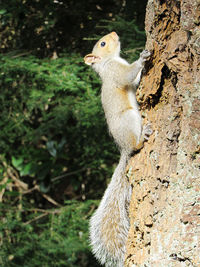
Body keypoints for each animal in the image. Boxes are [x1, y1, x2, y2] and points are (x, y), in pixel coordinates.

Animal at [84, 32, 152, 266]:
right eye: (103, 43)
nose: (114, 33)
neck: (108, 62)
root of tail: (123, 149)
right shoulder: (116, 72)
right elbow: (127, 76)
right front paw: (141, 58)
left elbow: (135, 81)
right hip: (129, 119)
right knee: (135, 144)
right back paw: (141, 137)